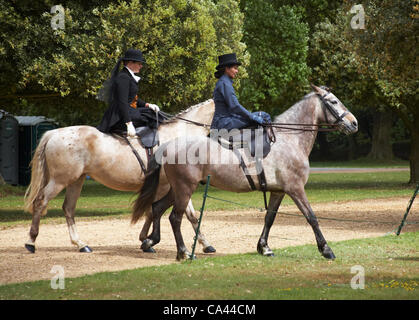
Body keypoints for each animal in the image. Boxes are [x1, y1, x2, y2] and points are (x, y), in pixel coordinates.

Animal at [23, 99, 217, 252]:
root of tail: (54, 133)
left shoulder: (177, 185)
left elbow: (188, 214)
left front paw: (205, 243)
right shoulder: (169, 185)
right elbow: (157, 211)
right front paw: (147, 240)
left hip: (75, 181)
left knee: (68, 208)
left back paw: (80, 244)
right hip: (60, 181)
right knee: (41, 202)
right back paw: (31, 242)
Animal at [133, 84, 360, 260]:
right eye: (333, 102)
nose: (354, 123)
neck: (289, 138)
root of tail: (168, 145)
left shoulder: (278, 191)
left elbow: (270, 218)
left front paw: (264, 247)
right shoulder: (295, 189)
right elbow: (311, 217)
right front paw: (326, 249)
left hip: (177, 189)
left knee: (157, 208)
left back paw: (150, 242)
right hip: (184, 188)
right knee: (175, 217)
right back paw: (183, 252)